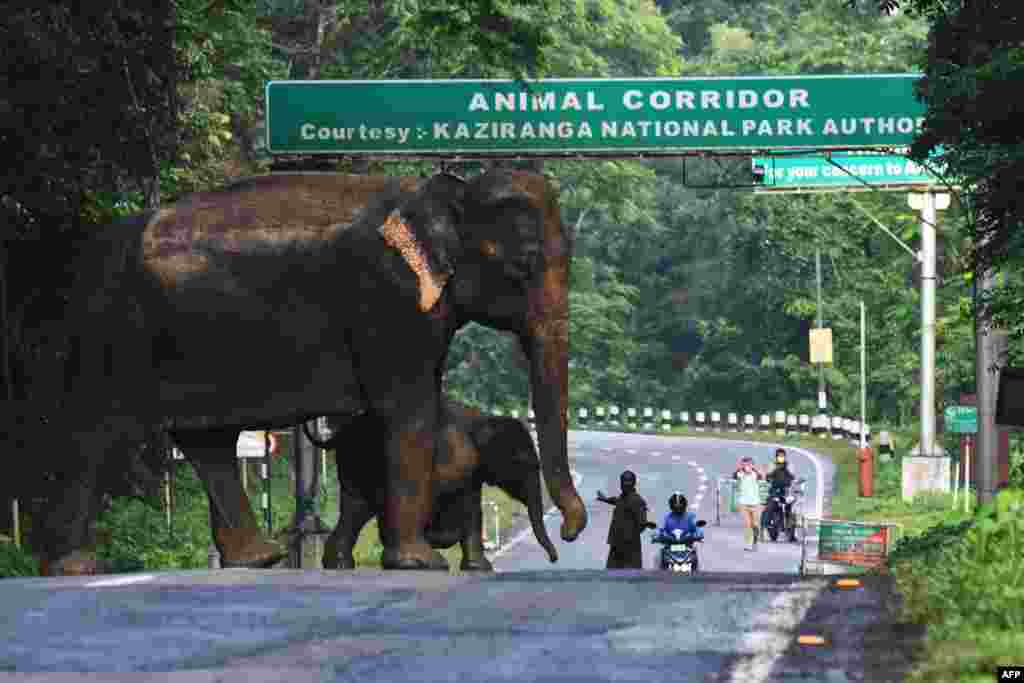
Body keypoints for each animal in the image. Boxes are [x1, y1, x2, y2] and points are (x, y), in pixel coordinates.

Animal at [311, 401, 561, 573]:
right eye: (525, 463)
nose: (554, 559)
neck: (484, 420)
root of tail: (339, 435)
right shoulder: (452, 456)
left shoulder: (471, 471)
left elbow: (472, 509)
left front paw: (478, 568)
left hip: (354, 464)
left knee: (356, 508)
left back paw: (339, 564)